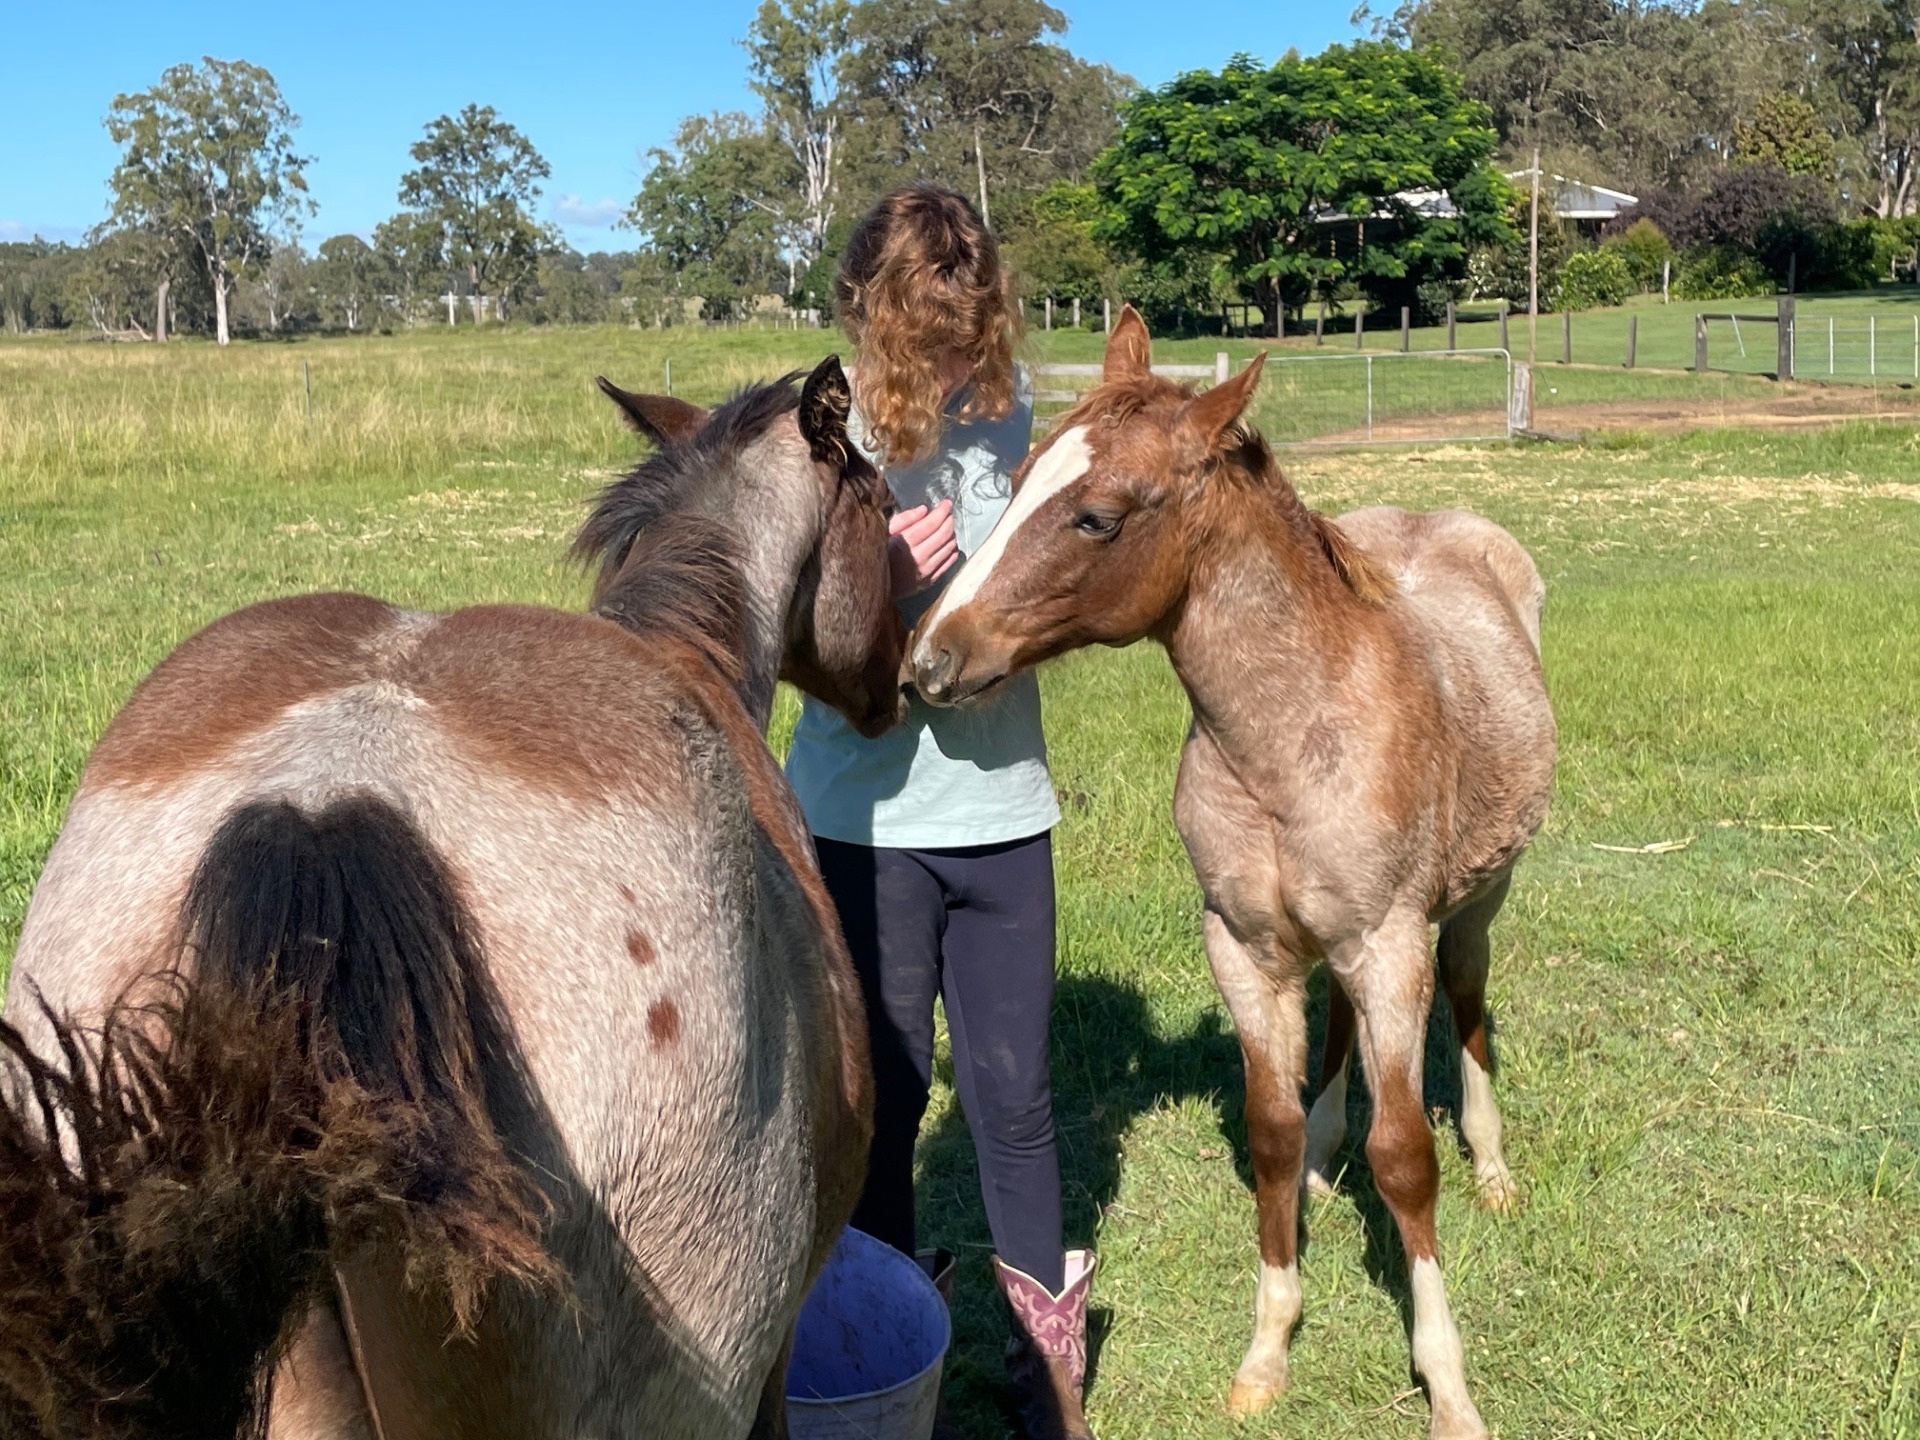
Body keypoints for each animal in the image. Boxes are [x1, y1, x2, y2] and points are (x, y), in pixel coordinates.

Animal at [906, 314, 1551, 1440]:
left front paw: (1450, 1387)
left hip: (1476, 901)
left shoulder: (1391, 944)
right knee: (1334, 1033)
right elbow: (1272, 1132)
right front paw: (1266, 1352)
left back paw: (1496, 1166)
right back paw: (1335, 1163)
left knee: (1469, 1003)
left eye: (1097, 517)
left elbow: (1407, 1158)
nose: (933, 659)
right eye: (1019, 480)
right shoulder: (1245, 946)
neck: (1291, 737)